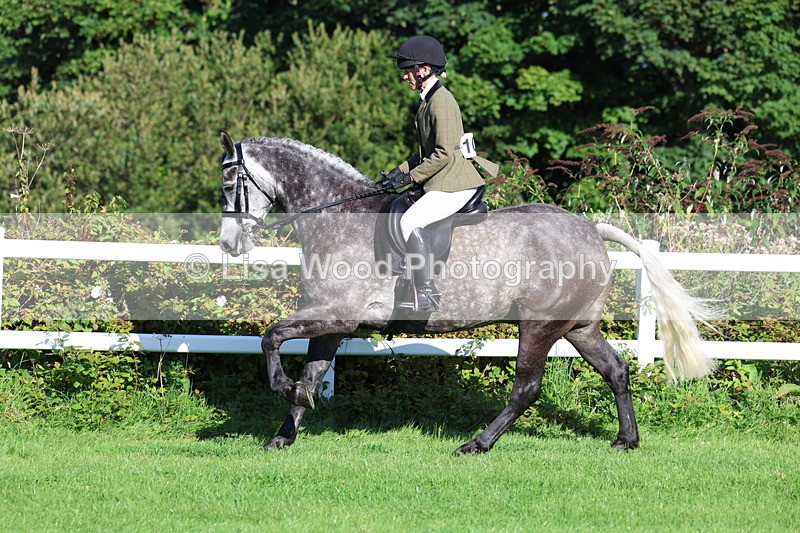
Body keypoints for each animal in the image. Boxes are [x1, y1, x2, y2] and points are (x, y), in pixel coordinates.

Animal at [217, 131, 718, 455]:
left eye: (228, 184)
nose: (228, 244)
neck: (338, 217)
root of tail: (592, 230)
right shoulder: (332, 321)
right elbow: (313, 371)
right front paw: (285, 430)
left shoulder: (336, 314)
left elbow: (271, 337)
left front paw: (286, 390)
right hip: (579, 327)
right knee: (615, 370)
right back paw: (626, 440)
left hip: (539, 325)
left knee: (526, 388)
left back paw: (476, 444)